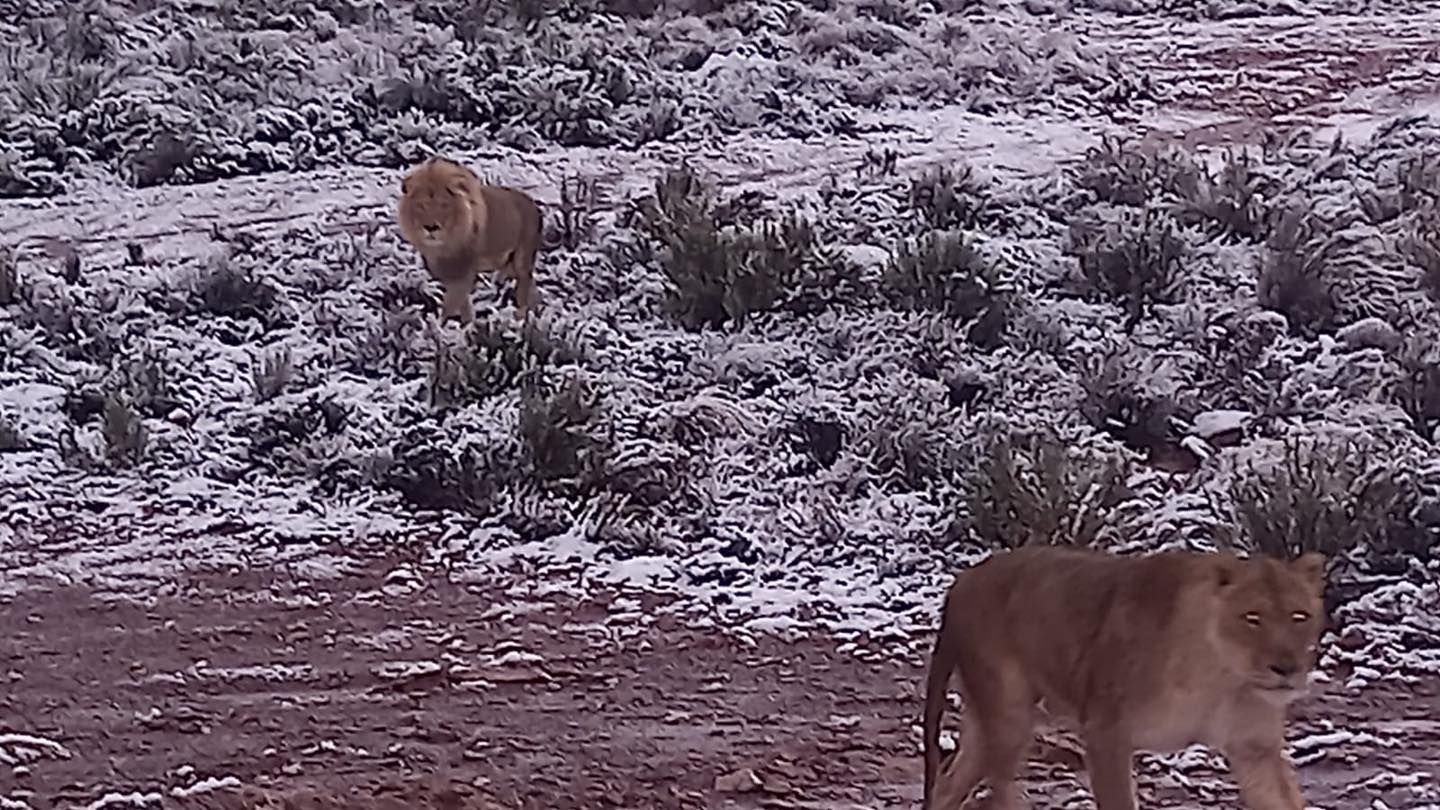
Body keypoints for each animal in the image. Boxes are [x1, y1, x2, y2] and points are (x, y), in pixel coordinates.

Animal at [397, 156, 543, 324]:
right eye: (421, 205)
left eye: (444, 205)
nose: (431, 227)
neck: (443, 246)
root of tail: (534, 206)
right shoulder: (445, 271)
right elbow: (463, 305)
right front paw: (466, 323)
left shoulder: (464, 272)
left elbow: (451, 304)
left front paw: (440, 326)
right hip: (508, 264)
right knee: (532, 287)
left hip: (522, 261)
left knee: (523, 290)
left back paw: (520, 319)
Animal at [922, 546, 1327, 810]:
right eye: (1252, 617)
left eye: (1299, 616)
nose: (1286, 668)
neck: (1224, 678)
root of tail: (963, 580)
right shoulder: (1106, 733)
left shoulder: (1255, 748)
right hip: (1009, 717)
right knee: (998, 789)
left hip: (986, 719)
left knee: (947, 785)